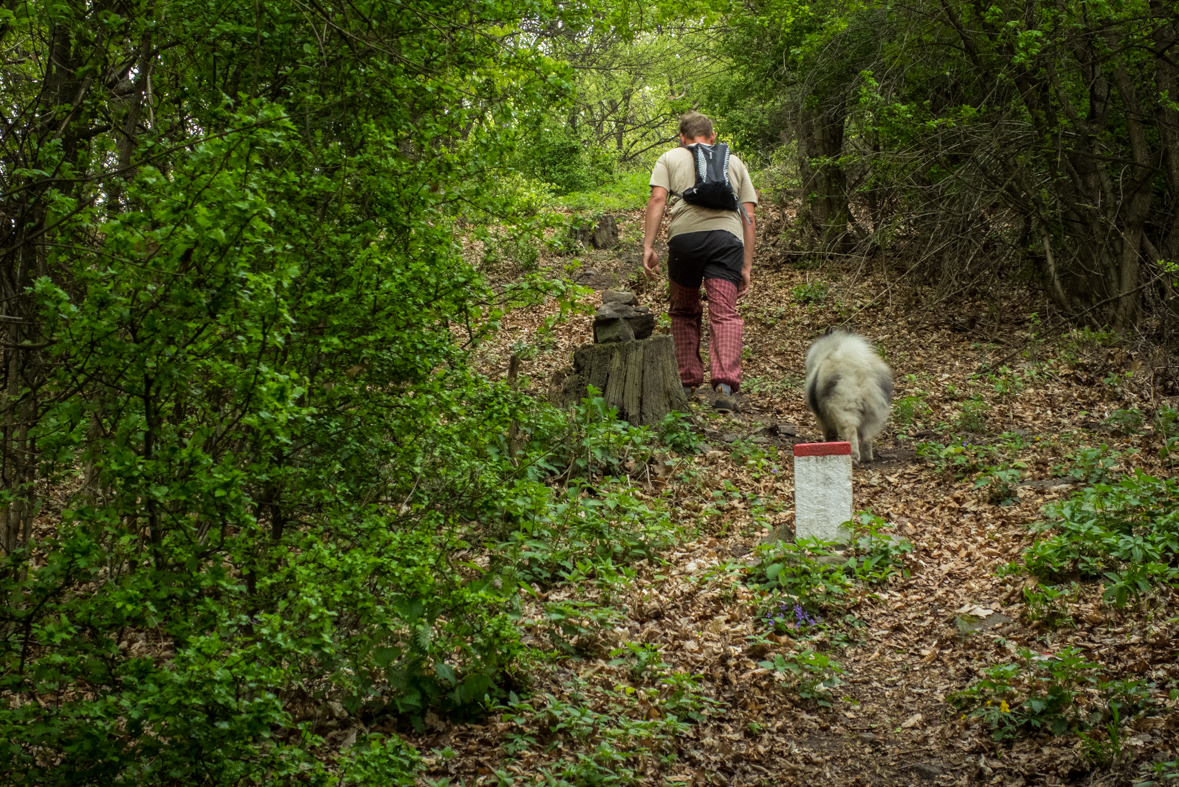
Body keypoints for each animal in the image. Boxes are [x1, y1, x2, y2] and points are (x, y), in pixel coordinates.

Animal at [801, 329, 891, 464]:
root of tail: (859, 371)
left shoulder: (823, 418)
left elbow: (830, 433)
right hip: (873, 414)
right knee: (867, 437)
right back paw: (867, 458)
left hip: (844, 410)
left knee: (851, 431)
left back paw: (853, 457)